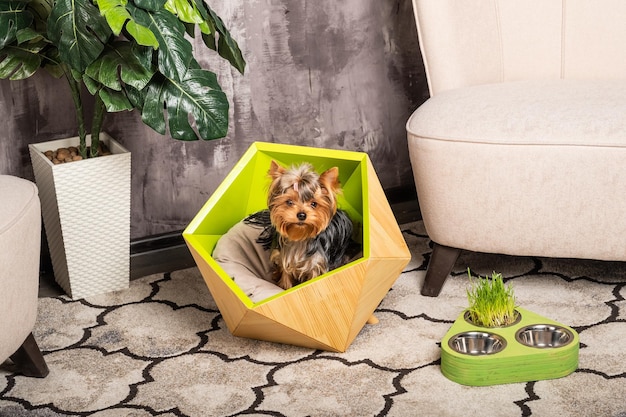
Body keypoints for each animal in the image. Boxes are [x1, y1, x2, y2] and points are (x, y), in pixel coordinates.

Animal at [258, 159, 354, 290]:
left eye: (314, 204)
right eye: (289, 202)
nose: (302, 215)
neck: (300, 238)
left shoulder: (316, 264)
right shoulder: (285, 258)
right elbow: (286, 276)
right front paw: (285, 286)